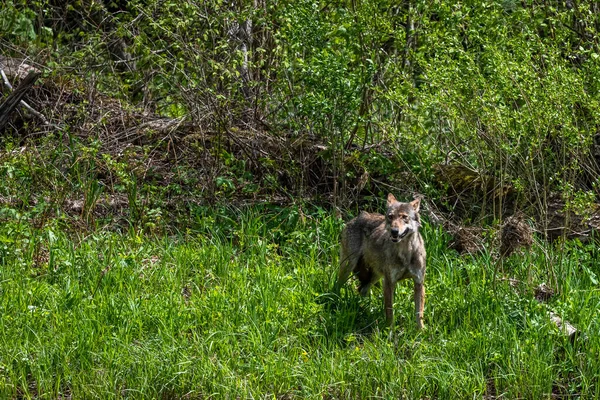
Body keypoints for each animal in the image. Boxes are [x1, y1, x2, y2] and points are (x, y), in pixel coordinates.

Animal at [338, 194, 426, 332]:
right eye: (390, 217)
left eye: (404, 217)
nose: (394, 231)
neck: (406, 253)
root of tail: (357, 216)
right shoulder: (389, 282)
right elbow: (389, 311)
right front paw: (390, 331)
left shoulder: (419, 282)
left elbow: (419, 313)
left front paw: (421, 332)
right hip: (348, 266)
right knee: (337, 285)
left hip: (375, 276)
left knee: (361, 289)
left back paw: (364, 309)